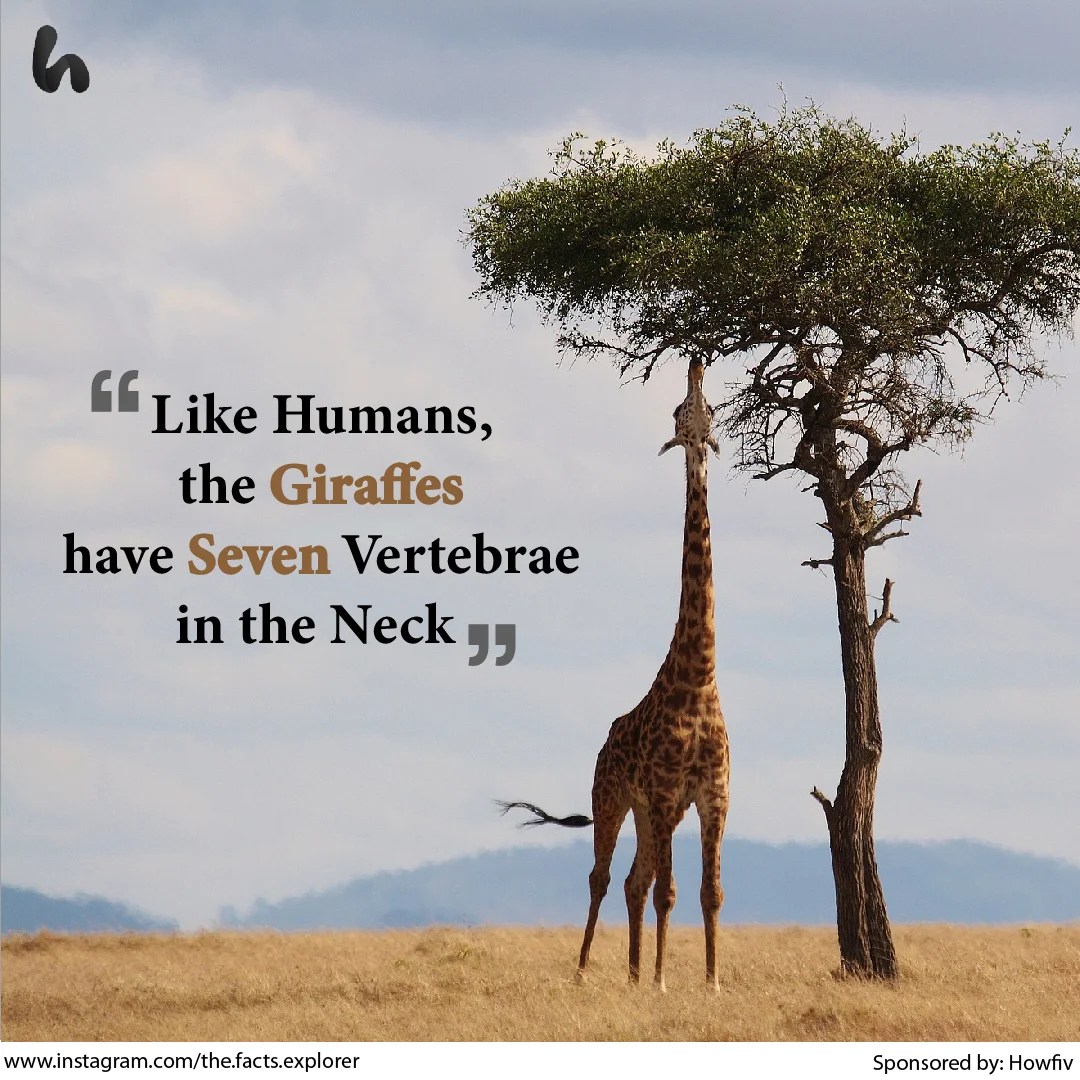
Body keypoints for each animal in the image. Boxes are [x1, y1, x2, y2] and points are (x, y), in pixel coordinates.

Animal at [499, 356, 730, 991]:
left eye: (709, 409)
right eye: (679, 411)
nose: (696, 362)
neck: (699, 678)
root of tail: (604, 742)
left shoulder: (713, 797)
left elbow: (710, 892)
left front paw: (710, 982)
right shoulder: (667, 793)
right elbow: (671, 892)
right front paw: (664, 981)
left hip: (649, 812)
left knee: (633, 881)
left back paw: (630, 975)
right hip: (613, 797)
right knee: (604, 878)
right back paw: (586, 972)